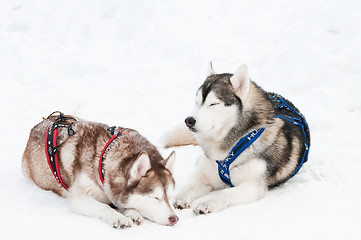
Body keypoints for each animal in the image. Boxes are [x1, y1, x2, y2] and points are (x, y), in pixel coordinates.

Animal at [21, 113, 178, 228]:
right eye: (155, 197)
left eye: (170, 196)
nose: (174, 218)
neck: (104, 160)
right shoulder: (80, 198)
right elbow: (105, 207)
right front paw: (119, 217)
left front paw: (133, 213)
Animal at [163, 62, 310, 215]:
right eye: (197, 102)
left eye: (213, 104)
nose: (189, 120)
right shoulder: (206, 176)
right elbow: (191, 185)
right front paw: (181, 197)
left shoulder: (253, 185)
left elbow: (225, 193)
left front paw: (207, 202)